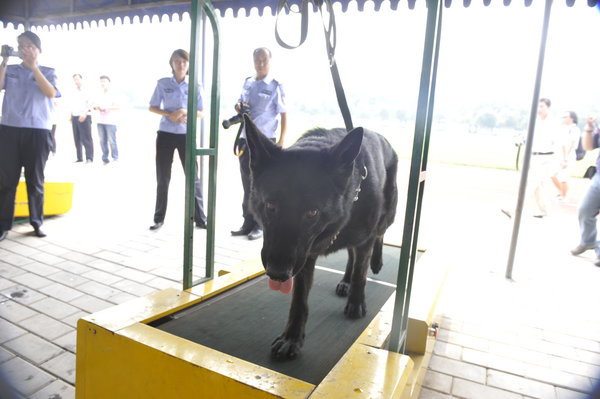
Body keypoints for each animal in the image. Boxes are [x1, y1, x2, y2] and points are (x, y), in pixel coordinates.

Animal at [244, 114, 398, 360]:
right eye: (270, 206)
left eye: (312, 212)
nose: (278, 274)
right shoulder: (305, 256)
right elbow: (299, 300)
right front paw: (292, 338)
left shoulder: (362, 240)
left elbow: (361, 273)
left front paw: (357, 302)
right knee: (351, 255)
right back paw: (345, 281)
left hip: (388, 214)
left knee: (378, 235)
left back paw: (375, 263)